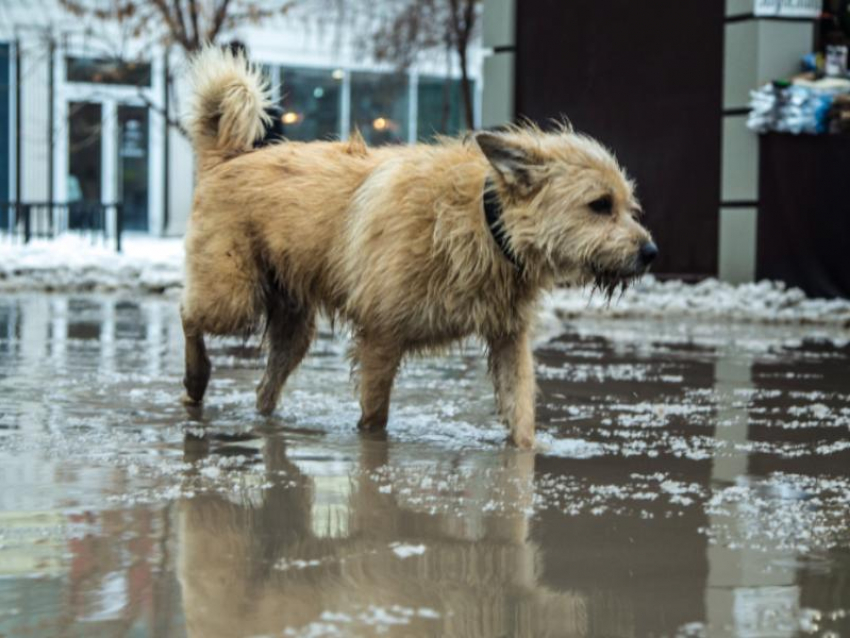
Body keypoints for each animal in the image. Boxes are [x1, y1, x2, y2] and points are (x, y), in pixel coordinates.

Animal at [179, 48, 656, 450]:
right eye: (599, 205)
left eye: (629, 207)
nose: (650, 251)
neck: (484, 224)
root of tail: (229, 157)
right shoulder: (380, 338)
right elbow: (374, 417)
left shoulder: (508, 339)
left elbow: (521, 416)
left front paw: (526, 457)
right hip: (232, 297)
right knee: (188, 314)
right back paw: (196, 379)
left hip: (294, 326)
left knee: (265, 387)